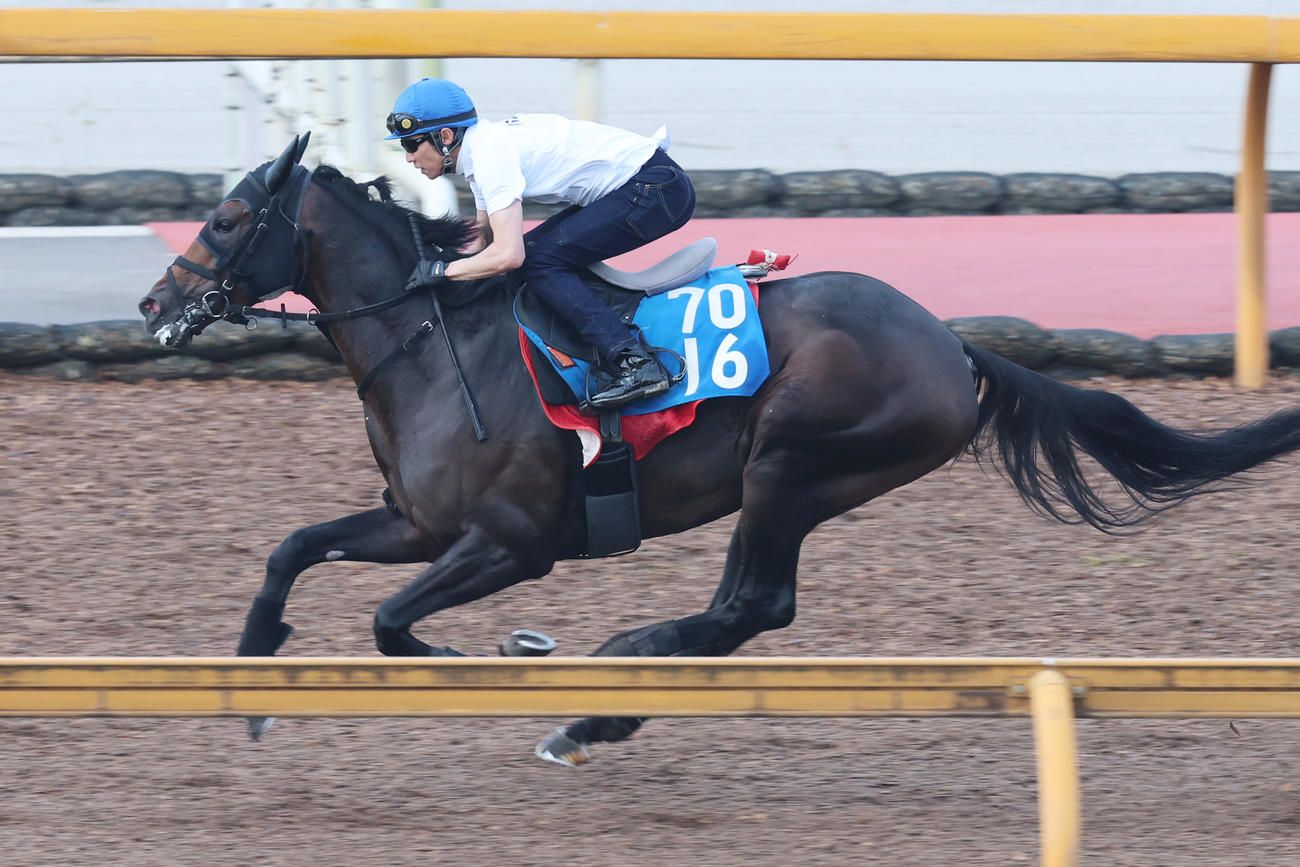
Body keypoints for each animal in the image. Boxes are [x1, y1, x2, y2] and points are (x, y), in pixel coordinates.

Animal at [140, 135, 1300, 766]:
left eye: (232, 216)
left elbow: (389, 624)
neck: (434, 340)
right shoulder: (416, 522)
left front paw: (512, 655)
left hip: (792, 462)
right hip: (790, 479)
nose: (153, 305)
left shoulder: (513, 541)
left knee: (754, 604)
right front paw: (253, 679)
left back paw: (603, 692)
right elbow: (295, 548)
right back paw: (608, 701)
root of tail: (949, 340)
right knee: (743, 609)